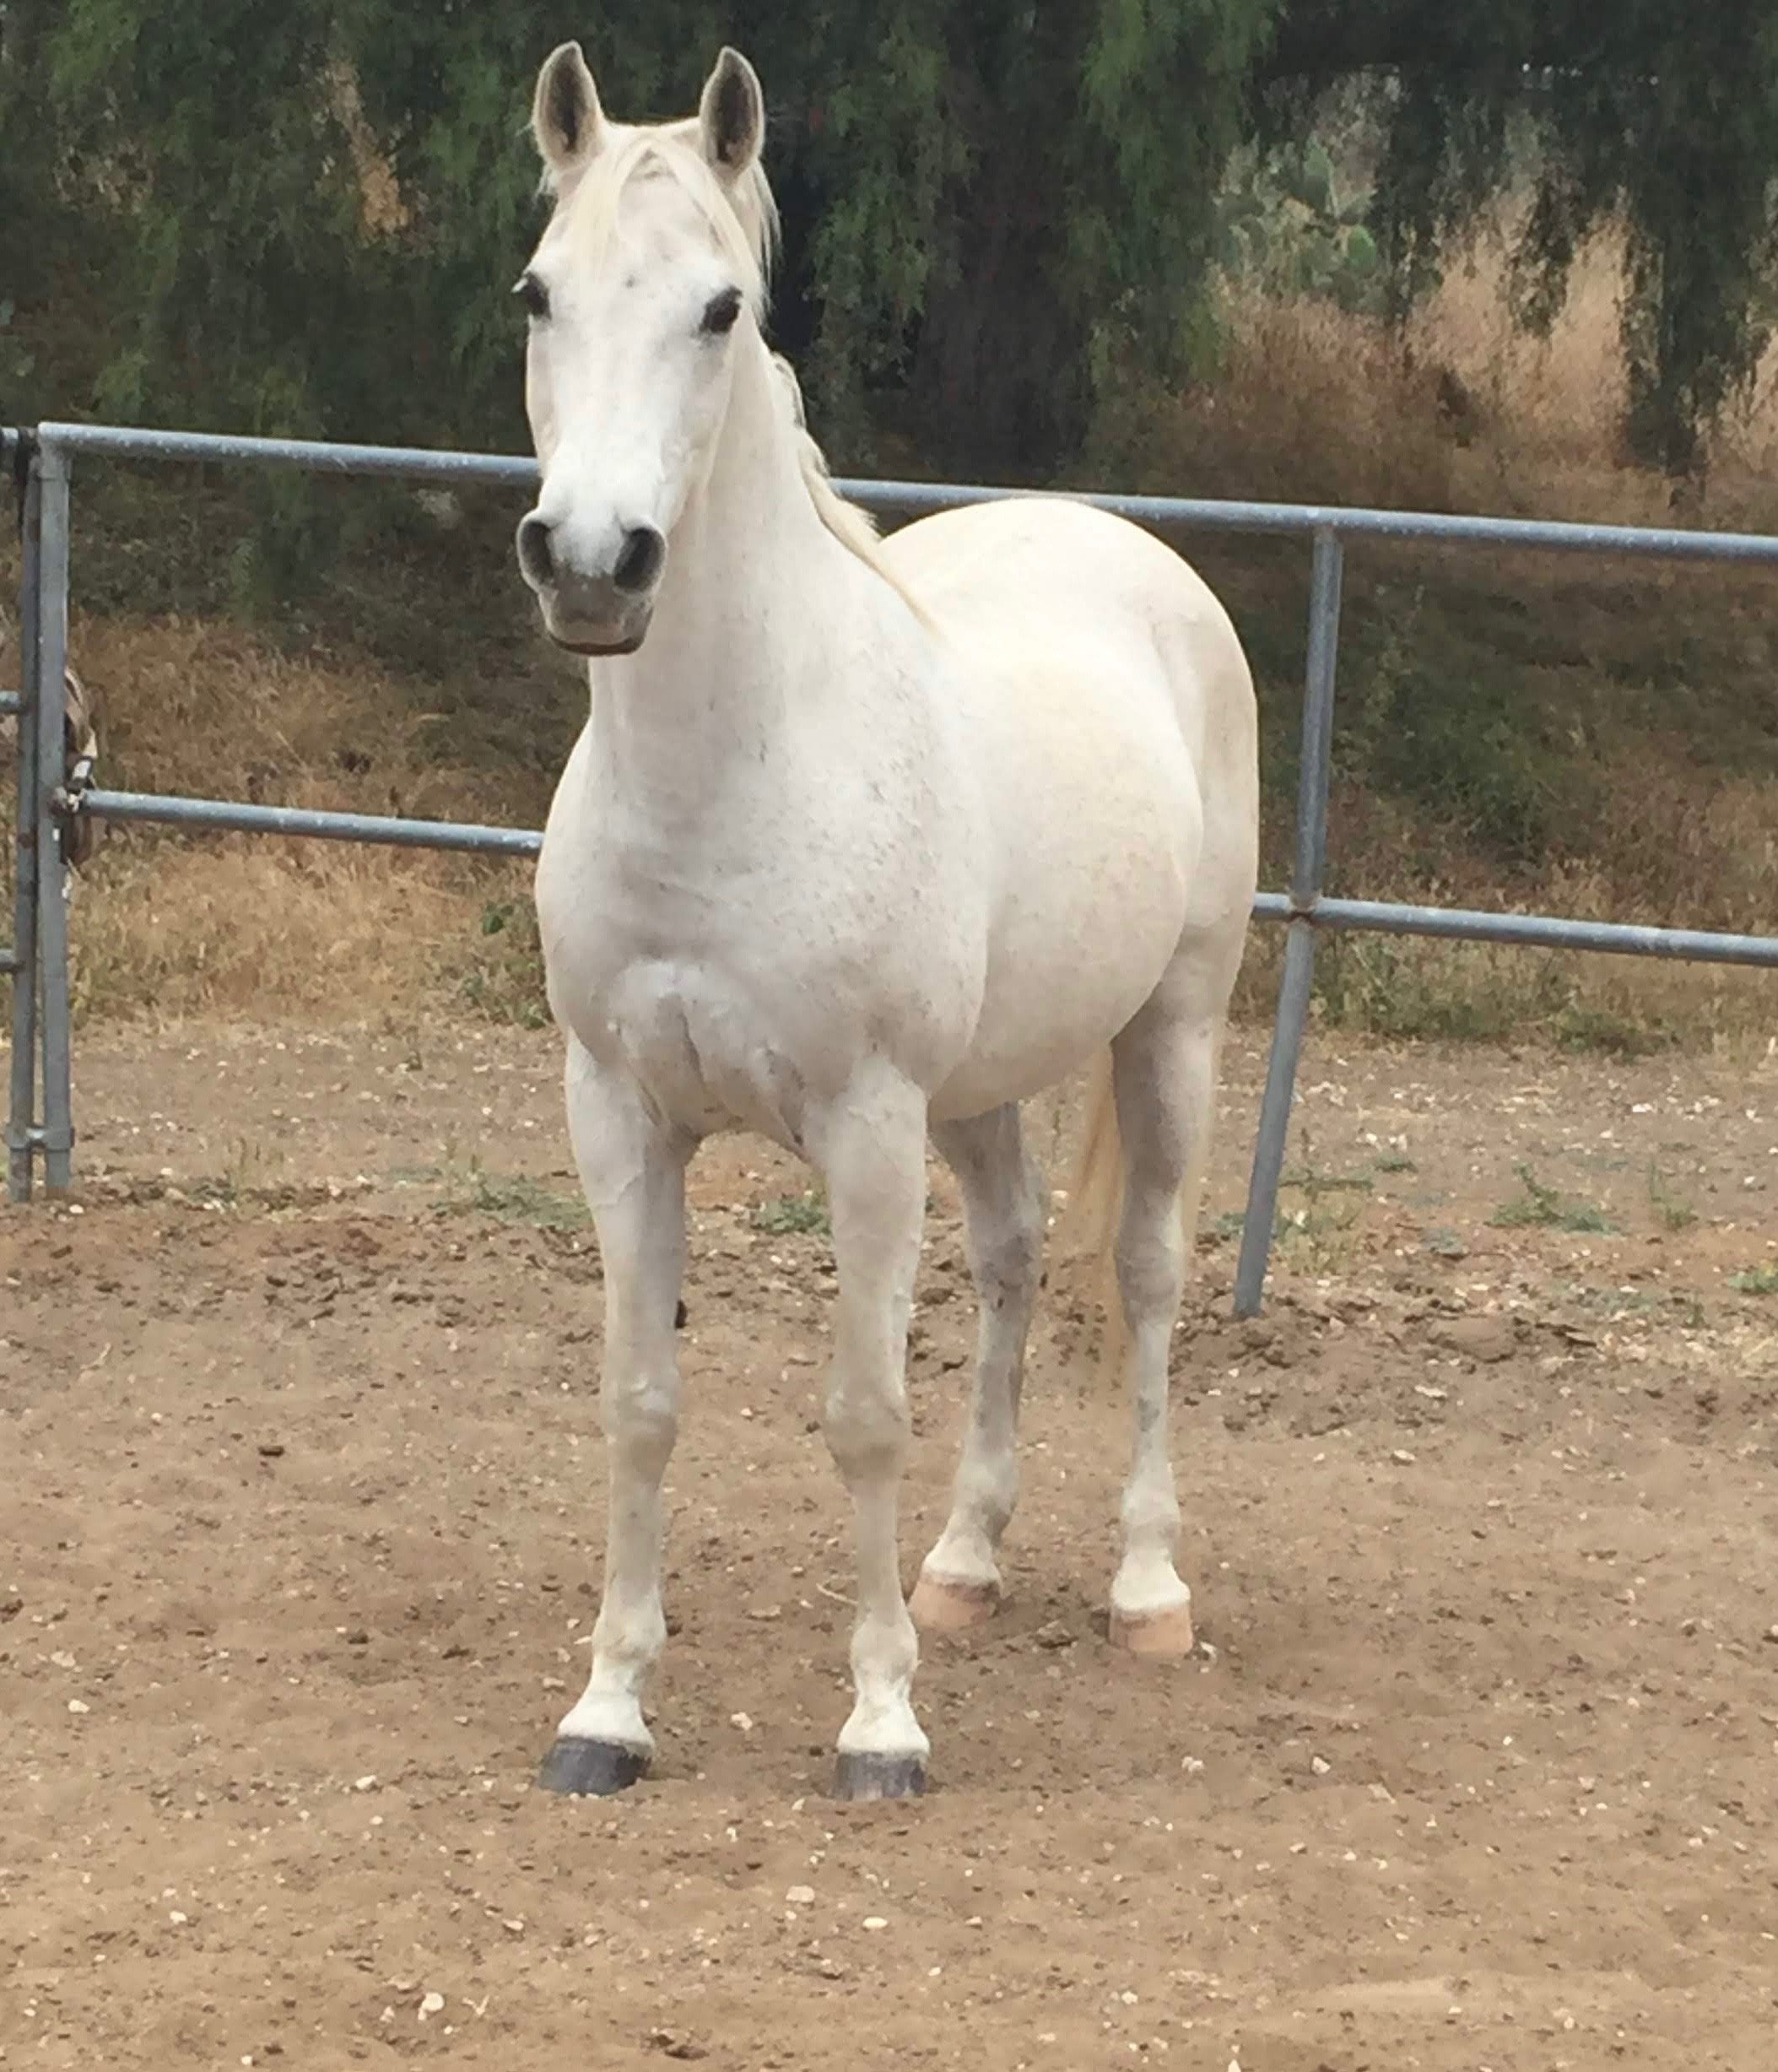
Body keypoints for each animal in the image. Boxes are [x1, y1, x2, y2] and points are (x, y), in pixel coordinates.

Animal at [515, 41, 1259, 1801]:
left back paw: (1145, 1589)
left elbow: (862, 1413)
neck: (733, 772)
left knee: (1142, 1276)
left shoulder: (861, 1126)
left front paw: (879, 1729)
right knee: (1009, 1268)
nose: (591, 564)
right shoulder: (619, 1112)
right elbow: (638, 1402)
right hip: (977, 1096)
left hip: (1173, 1033)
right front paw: (608, 1711)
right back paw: (968, 1567)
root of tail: (1112, 539)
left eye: (720, 307)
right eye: (537, 293)